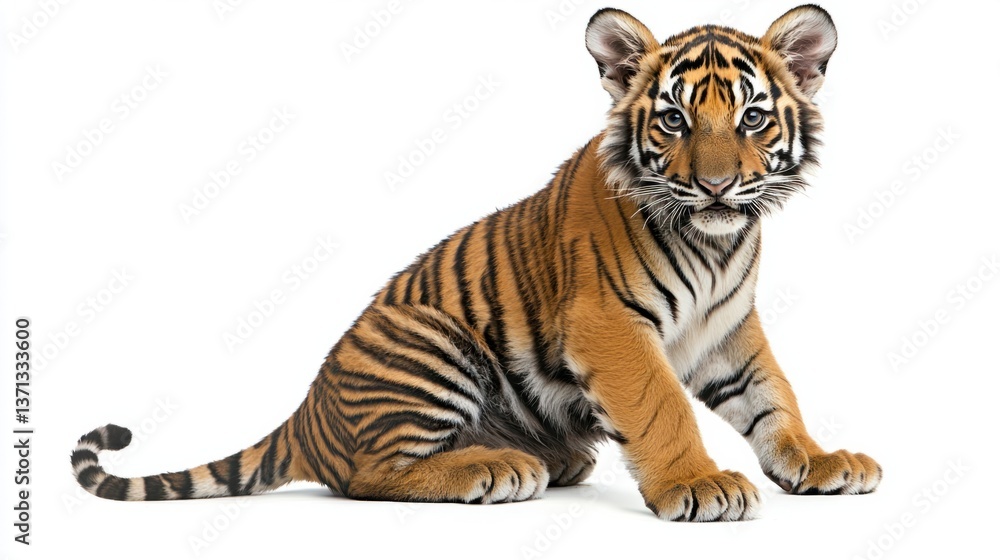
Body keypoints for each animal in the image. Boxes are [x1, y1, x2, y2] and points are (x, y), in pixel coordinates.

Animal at [71, 4, 881, 522]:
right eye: (675, 120)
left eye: (753, 117)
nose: (715, 185)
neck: (716, 243)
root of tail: (305, 417)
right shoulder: (610, 326)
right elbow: (661, 405)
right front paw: (699, 482)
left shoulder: (727, 331)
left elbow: (774, 399)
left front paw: (818, 461)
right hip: (431, 339)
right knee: (367, 475)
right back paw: (496, 469)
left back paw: (547, 459)